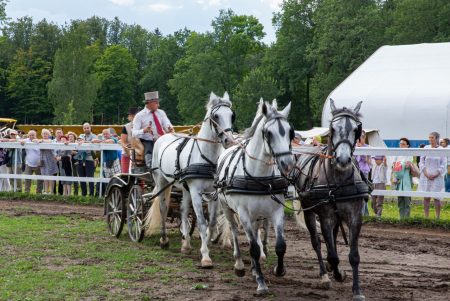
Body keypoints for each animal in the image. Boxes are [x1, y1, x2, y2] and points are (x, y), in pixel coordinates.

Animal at [149, 91, 236, 268]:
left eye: (232, 115)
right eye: (216, 116)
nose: (229, 141)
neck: (206, 157)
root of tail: (164, 136)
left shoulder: (212, 194)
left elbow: (212, 222)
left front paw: (206, 244)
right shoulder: (196, 192)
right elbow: (202, 223)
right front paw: (205, 257)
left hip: (185, 188)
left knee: (183, 210)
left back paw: (186, 244)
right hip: (161, 181)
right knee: (163, 208)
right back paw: (164, 240)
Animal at [215, 99, 296, 294]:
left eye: (290, 132)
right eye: (268, 133)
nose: (288, 164)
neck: (259, 177)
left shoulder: (276, 211)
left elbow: (280, 245)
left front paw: (279, 270)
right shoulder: (243, 213)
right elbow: (252, 248)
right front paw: (261, 282)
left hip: (257, 215)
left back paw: (253, 267)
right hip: (228, 209)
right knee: (234, 231)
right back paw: (239, 264)